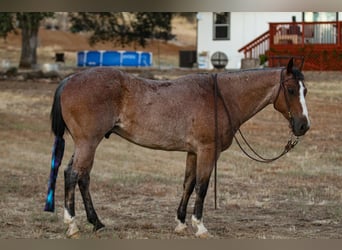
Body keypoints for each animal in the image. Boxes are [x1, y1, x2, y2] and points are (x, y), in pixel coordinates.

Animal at [43, 58, 310, 238]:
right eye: (290, 90)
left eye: (305, 90)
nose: (303, 125)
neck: (220, 97)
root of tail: (69, 80)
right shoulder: (207, 151)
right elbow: (202, 187)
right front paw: (199, 226)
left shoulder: (193, 152)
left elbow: (188, 185)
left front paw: (181, 222)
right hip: (88, 142)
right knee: (73, 175)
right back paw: (72, 224)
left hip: (86, 144)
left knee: (81, 177)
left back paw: (96, 222)